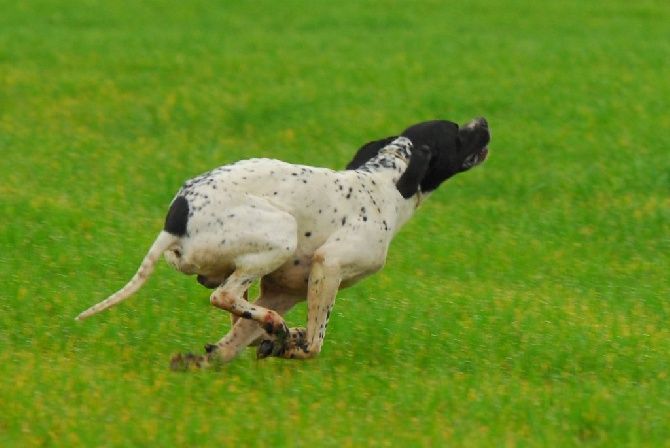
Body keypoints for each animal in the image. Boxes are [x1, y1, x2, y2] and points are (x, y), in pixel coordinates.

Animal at [76, 117, 490, 366]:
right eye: (457, 132)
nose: (484, 122)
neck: (384, 185)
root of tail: (177, 216)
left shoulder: (283, 290)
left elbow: (233, 342)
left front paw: (252, 346)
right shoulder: (328, 265)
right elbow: (315, 342)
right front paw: (292, 343)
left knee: (236, 310)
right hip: (281, 233)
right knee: (225, 296)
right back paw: (276, 328)